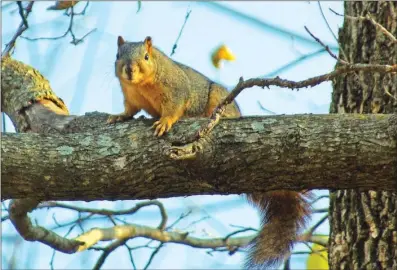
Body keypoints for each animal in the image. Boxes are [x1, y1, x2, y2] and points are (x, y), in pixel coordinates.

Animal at [106, 35, 310, 268]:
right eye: (117, 55)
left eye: (146, 56)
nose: (129, 70)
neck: (140, 85)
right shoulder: (131, 97)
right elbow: (129, 110)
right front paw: (119, 116)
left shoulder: (176, 90)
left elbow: (173, 108)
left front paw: (164, 121)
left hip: (218, 99)